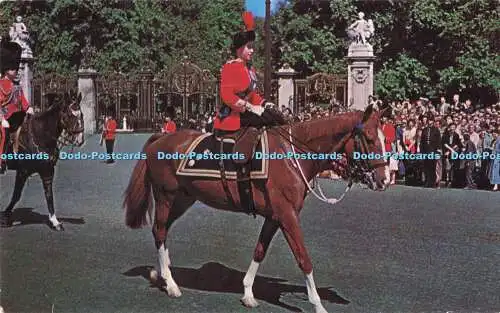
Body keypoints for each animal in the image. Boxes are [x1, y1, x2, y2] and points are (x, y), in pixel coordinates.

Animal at [0, 91, 84, 230]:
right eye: (69, 114)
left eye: (81, 114)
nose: (80, 139)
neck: (40, 135)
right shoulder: (23, 171)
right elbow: (16, 195)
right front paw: (5, 217)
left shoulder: (47, 170)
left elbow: (49, 194)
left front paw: (54, 221)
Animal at [124, 103, 390, 310]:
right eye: (369, 138)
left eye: (385, 138)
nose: (385, 179)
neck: (292, 155)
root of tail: (161, 137)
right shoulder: (287, 215)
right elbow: (303, 258)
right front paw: (317, 304)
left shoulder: (274, 217)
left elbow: (259, 251)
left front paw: (248, 293)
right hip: (166, 197)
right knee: (159, 231)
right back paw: (171, 284)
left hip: (183, 199)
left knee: (162, 231)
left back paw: (160, 272)